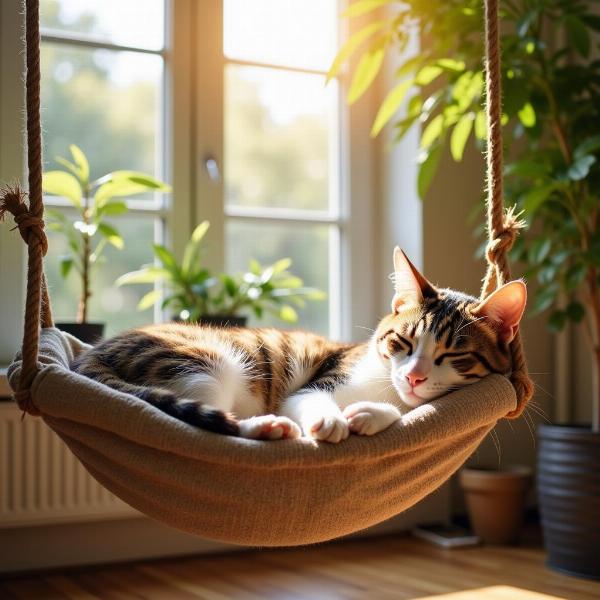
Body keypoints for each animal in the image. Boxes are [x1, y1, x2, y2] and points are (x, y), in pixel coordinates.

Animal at [74, 246, 524, 442]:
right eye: (403, 342)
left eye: (454, 355)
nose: (413, 377)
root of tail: (95, 350)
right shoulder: (320, 381)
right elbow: (309, 397)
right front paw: (331, 419)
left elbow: (400, 411)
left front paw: (370, 414)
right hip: (204, 363)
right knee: (215, 420)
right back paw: (266, 425)